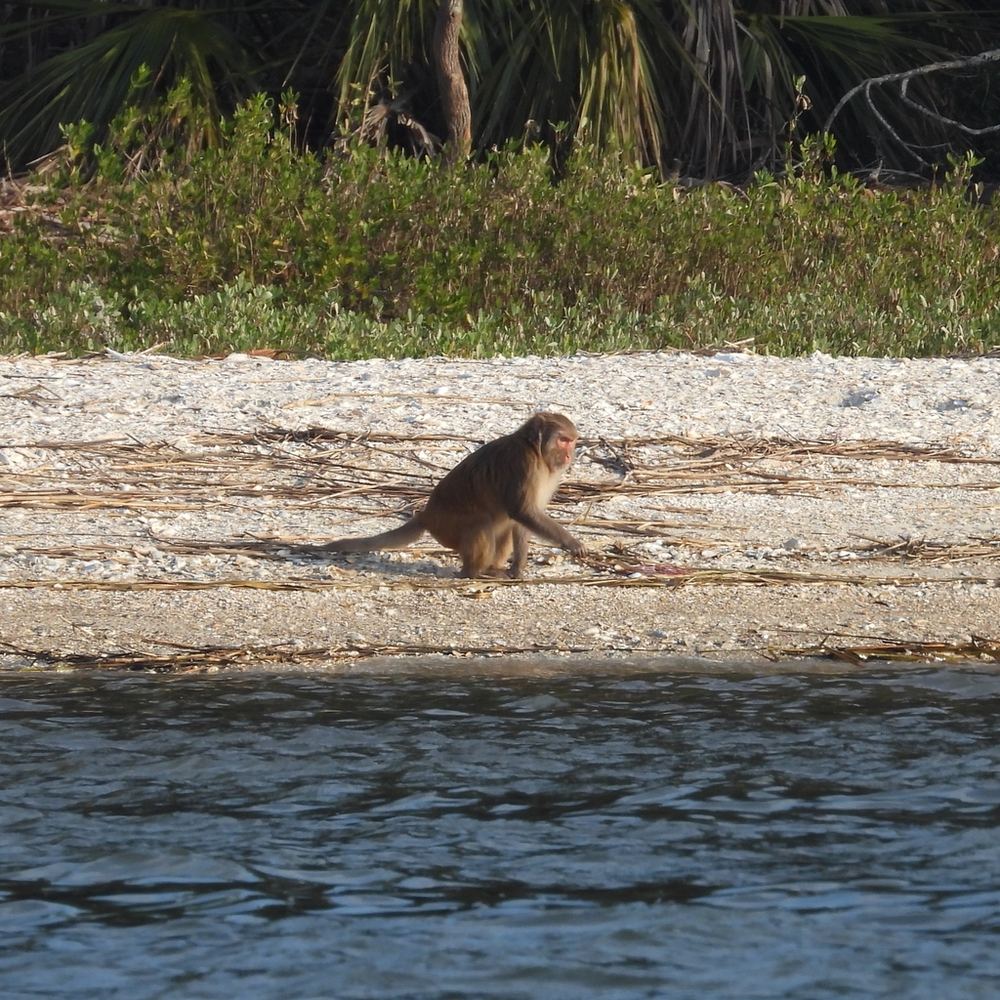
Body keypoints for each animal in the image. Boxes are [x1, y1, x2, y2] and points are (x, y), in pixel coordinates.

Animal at [317, 412, 586, 579]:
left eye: (572, 441)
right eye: (563, 440)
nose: (570, 455)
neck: (535, 451)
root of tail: (426, 515)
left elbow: (521, 519)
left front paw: (518, 568)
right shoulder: (523, 465)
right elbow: (522, 510)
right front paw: (571, 542)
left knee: (502, 526)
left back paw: (491, 568)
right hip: (447, 527)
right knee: (481, 525)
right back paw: (473, 572)